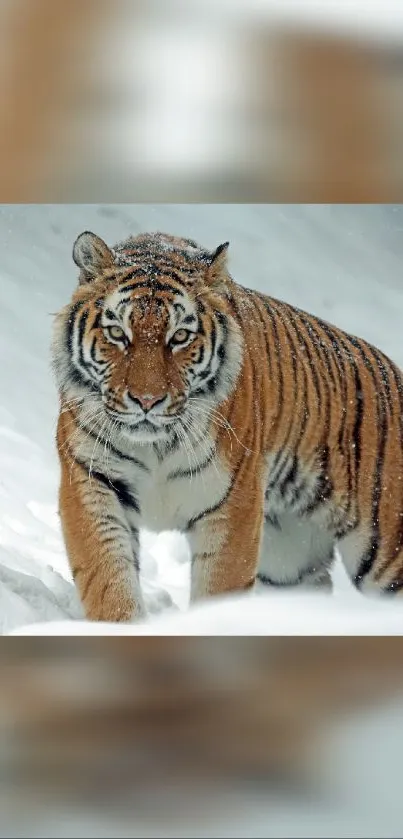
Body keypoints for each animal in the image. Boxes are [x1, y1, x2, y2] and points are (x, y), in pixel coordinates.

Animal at [53, 230, 403, 624]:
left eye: (179, 337)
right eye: (116, 333)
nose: (146, 401)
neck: (156, 445)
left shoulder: (232, 504)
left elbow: (219, 588)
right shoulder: (92, 481)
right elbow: (108, 578)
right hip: (289, 561)